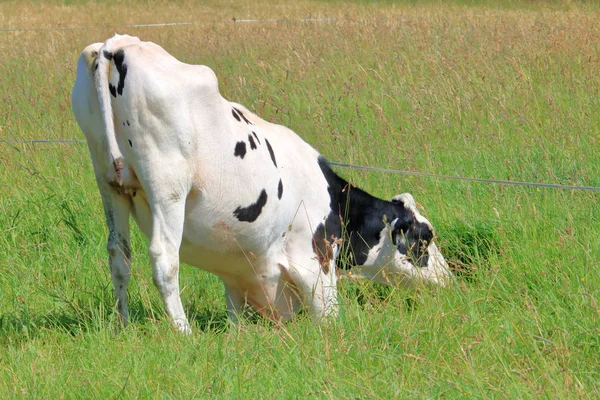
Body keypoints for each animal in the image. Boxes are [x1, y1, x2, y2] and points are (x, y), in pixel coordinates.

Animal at [71, 34, 450, 332]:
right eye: (425, 239)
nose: (450, 280)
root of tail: (119, 45)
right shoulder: (314, 261)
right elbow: (329, 318)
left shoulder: (240, 275)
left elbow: (235, 315)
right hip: (167, 185)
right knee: (164, 259)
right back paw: (184, 333)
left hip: (109, 181)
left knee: (119, 256)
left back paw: (123, 326)